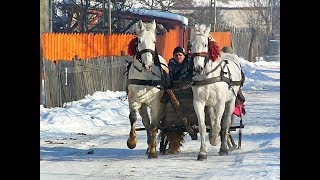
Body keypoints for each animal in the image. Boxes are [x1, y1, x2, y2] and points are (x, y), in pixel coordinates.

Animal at [126, 19, 170, 158]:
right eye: (139, 41)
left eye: (154, 41)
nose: (148, 65)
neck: (145, 76)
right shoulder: (134, 100)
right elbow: (133, 118)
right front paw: (132, 142)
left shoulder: (156, 103)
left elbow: (154, 125)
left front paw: (153, 151)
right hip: (143, 105)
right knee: (146, 123)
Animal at [190, 23, 242, 160]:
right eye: (191, 45)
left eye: (205, 45)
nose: (197, 68)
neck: (208, 75)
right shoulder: (198, 102)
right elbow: (202, 127)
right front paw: (202, 152)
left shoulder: (220, 102)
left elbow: (219, 125)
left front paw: (215, 139)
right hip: (209, 104)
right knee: (213, 119)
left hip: (230, 101)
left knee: (226, 122)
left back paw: (223, 146)